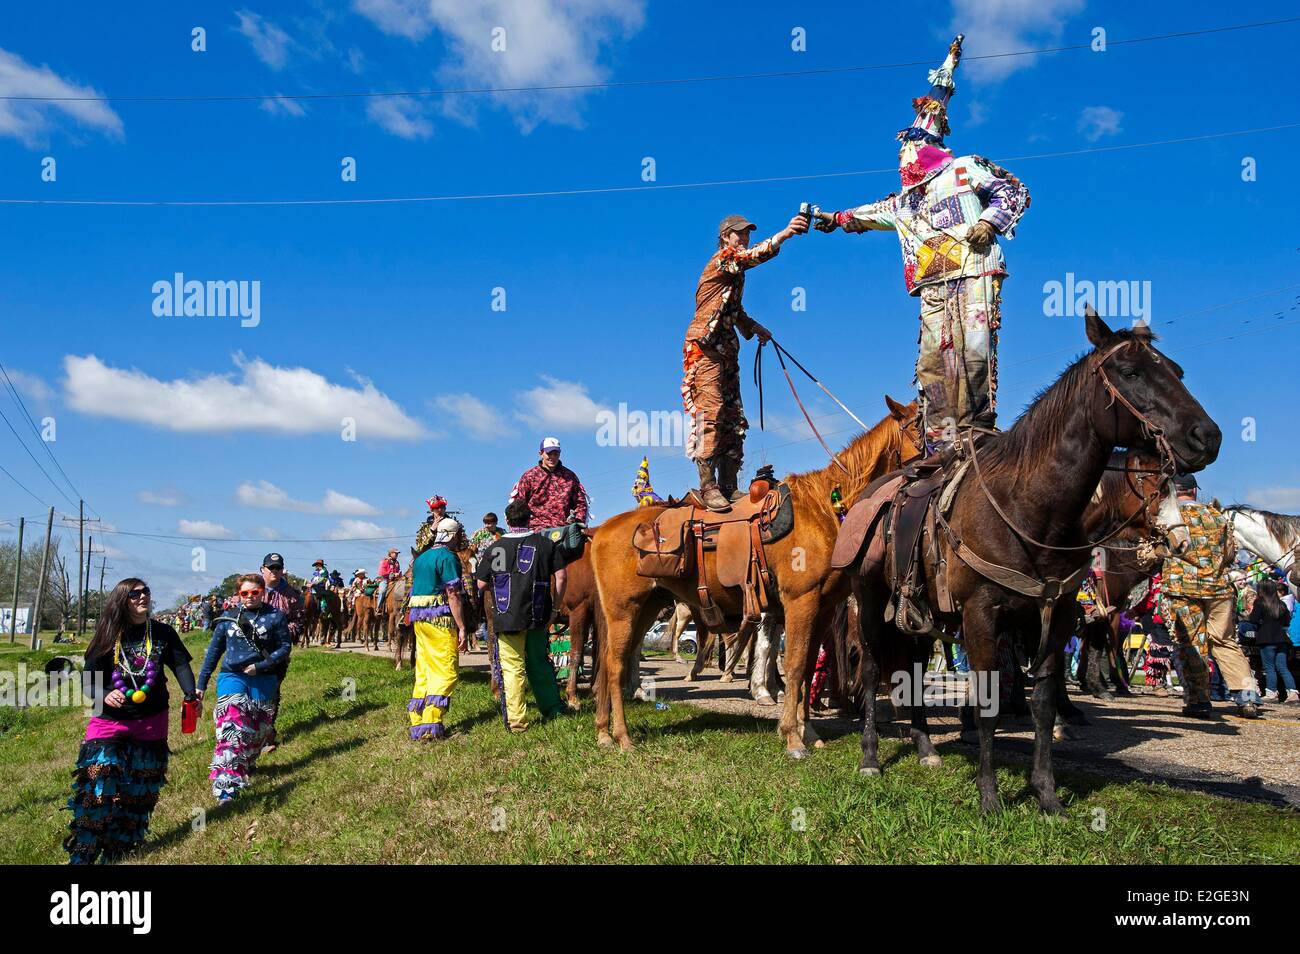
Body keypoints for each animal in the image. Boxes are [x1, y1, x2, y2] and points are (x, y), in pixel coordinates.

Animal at [847, 314, 1222, 816]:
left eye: (1177, 371)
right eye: (1130, 372)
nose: (1208, 436)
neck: (1028, 509)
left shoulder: (1056, 616)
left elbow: (1043, 700)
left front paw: (1047, 794)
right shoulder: (982, 617)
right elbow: (987, 701)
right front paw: (989, 797)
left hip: (918, 616)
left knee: (914, 667)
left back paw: (925, 748)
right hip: (869, 603)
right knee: (871, 669)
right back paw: (870, 756)